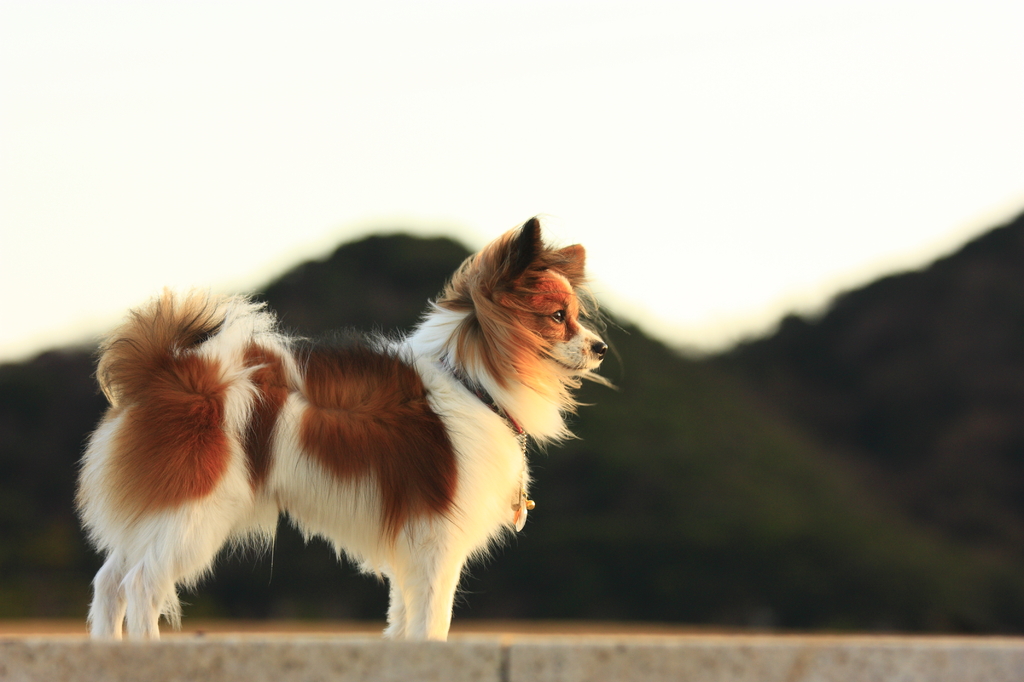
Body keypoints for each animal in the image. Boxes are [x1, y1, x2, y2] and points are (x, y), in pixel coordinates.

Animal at [79, 218, 610, 638]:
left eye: (575, 316)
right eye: (557, 318)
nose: (600, 347)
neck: (471, 383)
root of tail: (165, 370)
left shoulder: (411, 552)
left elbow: (404, 621)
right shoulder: (438, 546)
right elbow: (432, 623)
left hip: (158, 513)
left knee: (108, 584)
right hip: (196, 511)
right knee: (140, 586)